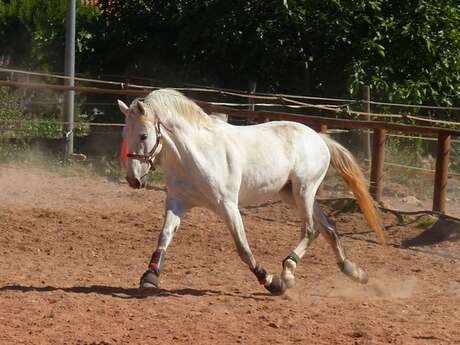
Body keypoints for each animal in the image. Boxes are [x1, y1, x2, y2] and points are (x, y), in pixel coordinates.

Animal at [117, 88, 384, 292]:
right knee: (328, 228)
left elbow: (243, 248)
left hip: (304, 190)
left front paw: (271, 282)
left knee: (310, 230)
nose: (133, 179)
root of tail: (318, 138)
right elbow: (164, 236)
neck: (195, 154)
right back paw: (354, 271)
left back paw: (287, 272)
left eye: (143, 135)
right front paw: (150, 278)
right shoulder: (177, 202)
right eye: (124, 134)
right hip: (291, 195)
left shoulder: (228, 206)